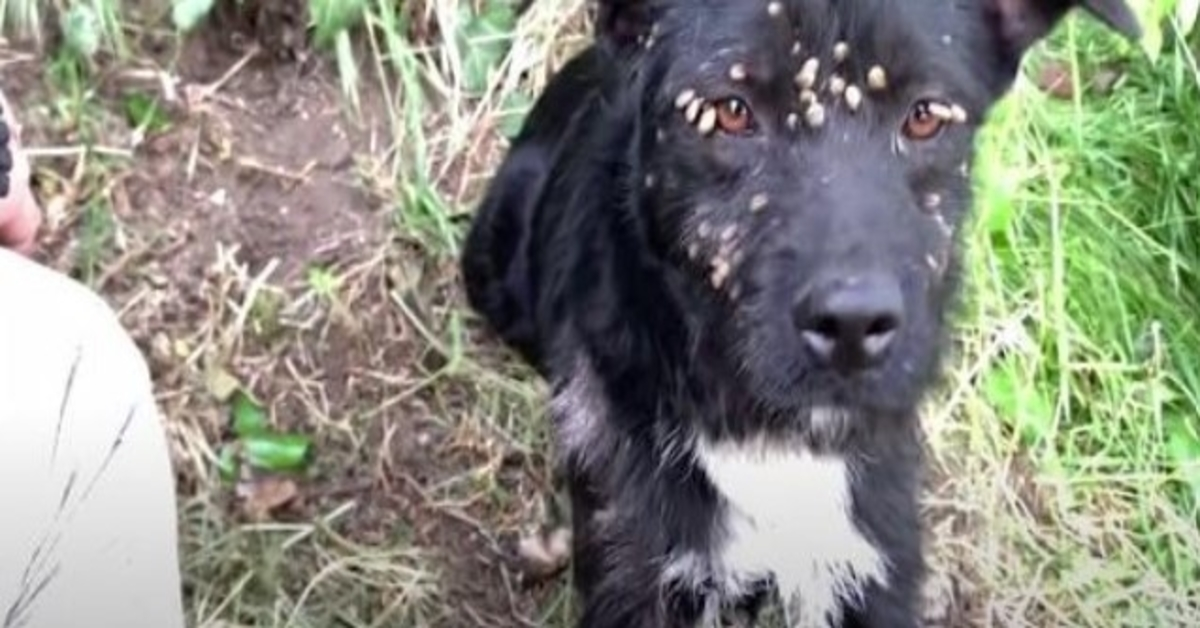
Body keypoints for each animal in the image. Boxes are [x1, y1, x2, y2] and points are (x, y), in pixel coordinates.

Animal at [463, 2, 1137, 624]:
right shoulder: (636, 571)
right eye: (730, 111)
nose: (852, 327)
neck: (772, 430)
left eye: (925, 116)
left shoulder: (872, 556)